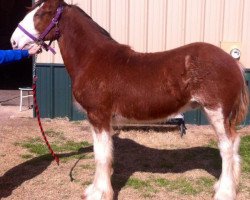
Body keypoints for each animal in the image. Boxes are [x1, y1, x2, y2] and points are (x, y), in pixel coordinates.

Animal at [10, 0, 248, 200]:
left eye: (41, 13)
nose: (13, 41)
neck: (93, 59)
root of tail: (232, 62)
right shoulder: (98, 119)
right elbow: (101, 152)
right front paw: (94, 190)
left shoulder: (99, 116)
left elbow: (101, 155)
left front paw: (100, 193)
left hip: (216, 112)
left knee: (227, 147)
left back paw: (224, 192)